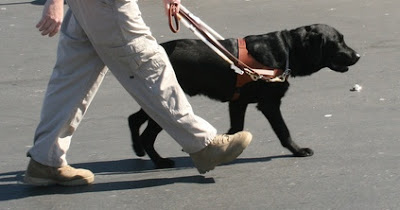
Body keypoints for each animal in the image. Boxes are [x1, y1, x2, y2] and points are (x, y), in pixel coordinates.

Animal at [127, 23, 360, 168]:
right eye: (338, 41)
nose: (357, 55)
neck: (286, 50)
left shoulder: (238, 102)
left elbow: (236, 128)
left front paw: (224, 145)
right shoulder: (269, 104)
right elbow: (283, 131)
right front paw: (298, 150)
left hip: (157, 96)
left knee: (133, 119)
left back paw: (139, 150)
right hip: (168, 100)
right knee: (147, 132)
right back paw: (159, 161)